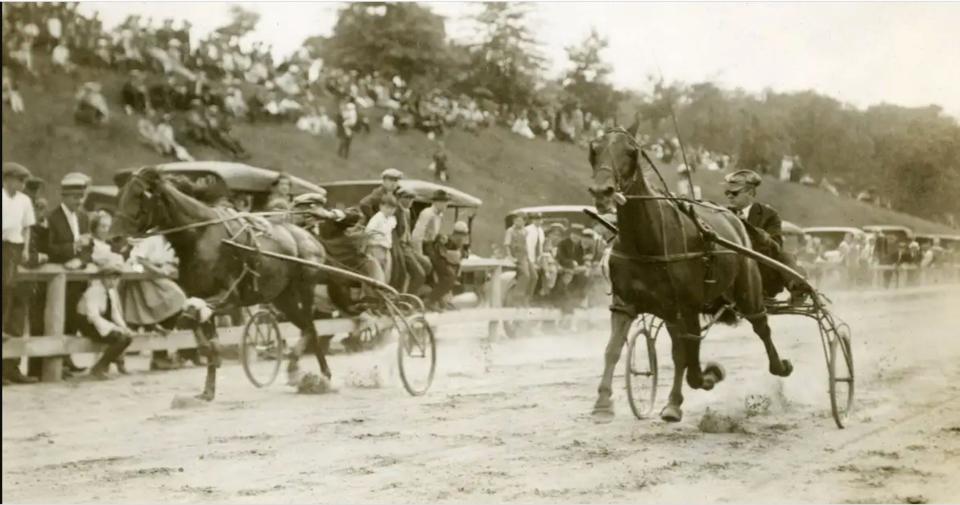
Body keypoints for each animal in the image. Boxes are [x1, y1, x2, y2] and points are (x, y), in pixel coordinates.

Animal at [109, 167, 326, 400]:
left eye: (139, 195)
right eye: (119, 195)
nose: (114, 238)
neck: (200, 236)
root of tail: (308, 236)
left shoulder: (229, 297)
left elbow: (192, 316)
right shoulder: (200, 295)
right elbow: (205, 338)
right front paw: (208, 389)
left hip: (305, 287)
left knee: (310, 328)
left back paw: (310, 373)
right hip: (282, 296)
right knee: (307, 327)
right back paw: (312, 372)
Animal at [588, 129, 792, 422]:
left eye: (630, 151)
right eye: (594, 149)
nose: (602, 191)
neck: (646, 241)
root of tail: (734, 219)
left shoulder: (686, 306)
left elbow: (688, 358)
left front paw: (706, 378)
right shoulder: (626, 304)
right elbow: (613, 349)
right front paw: (603, 402)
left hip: (748, 288)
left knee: (761, 326)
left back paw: (779, 365)